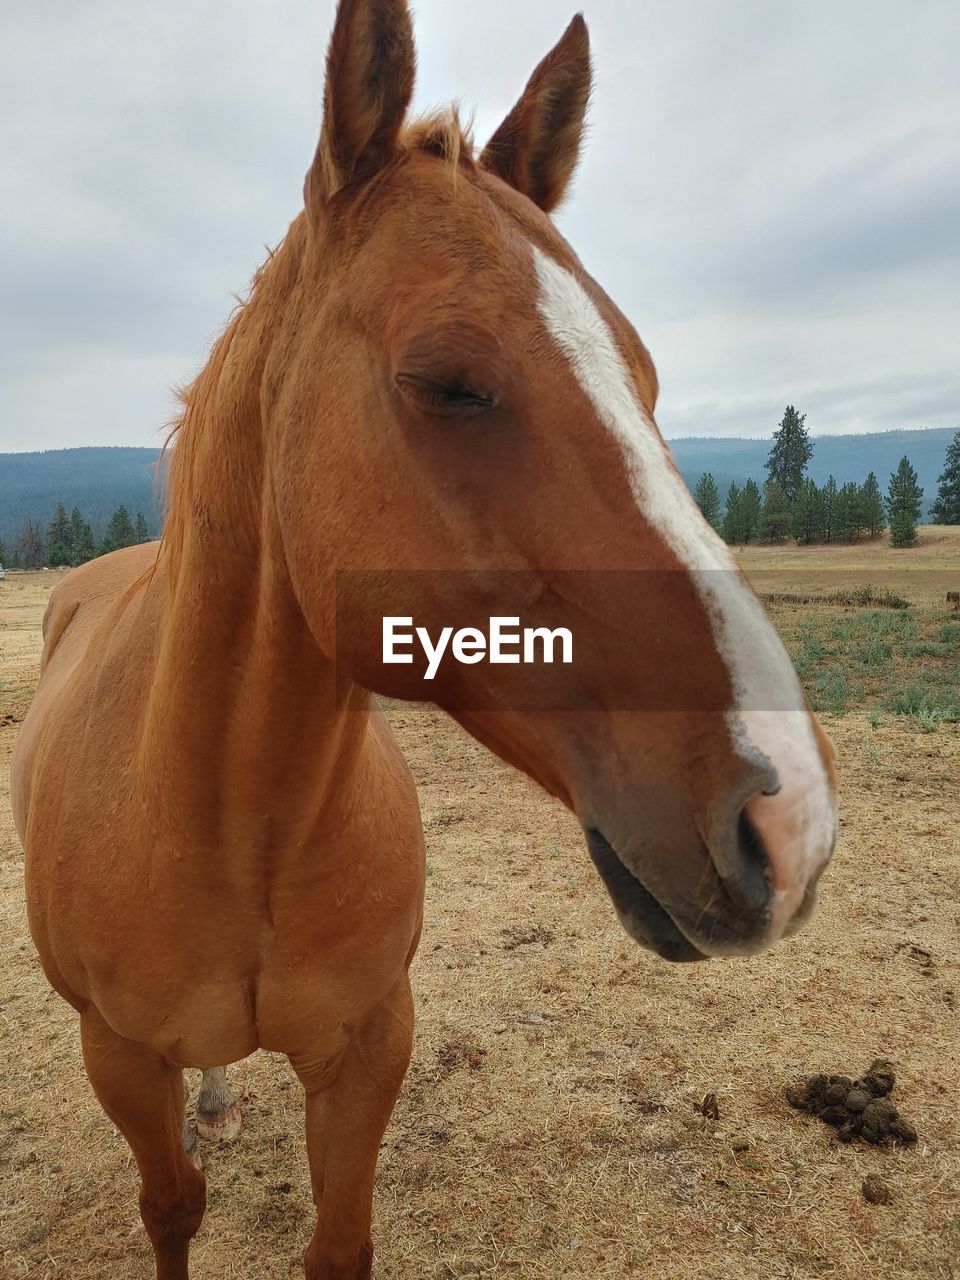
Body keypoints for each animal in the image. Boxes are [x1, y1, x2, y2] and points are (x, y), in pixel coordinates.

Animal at [7, 5, 839, 1274]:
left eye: (645, 379)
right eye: (446, 381)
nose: (789, 822)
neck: (227, 825)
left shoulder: (368, 1049)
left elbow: (339, 1240)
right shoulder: (121, 1058)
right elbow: (172, 1207)